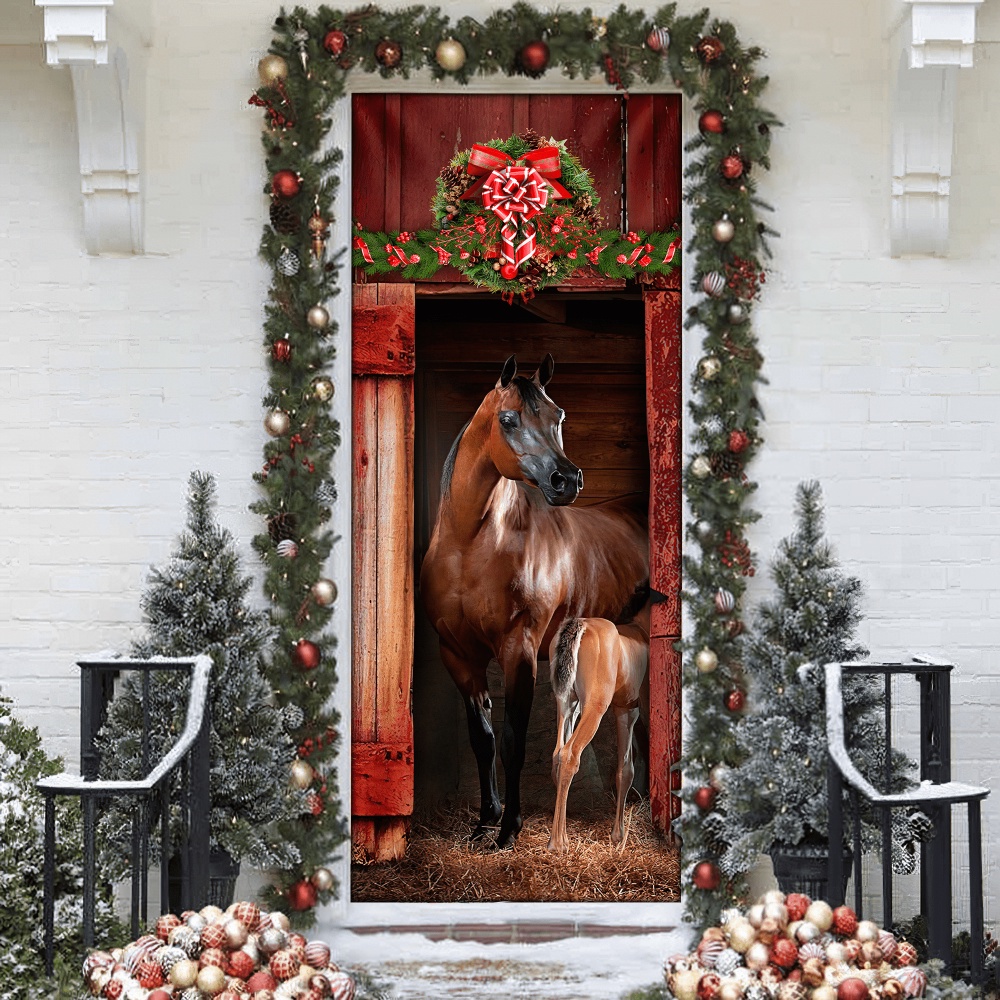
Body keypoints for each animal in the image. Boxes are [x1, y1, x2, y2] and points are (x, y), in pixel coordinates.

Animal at [420, 354, 648, 849]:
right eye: (509, 419)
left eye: (558, 415)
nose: (567, 480)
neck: (471, 545)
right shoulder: (458, 655)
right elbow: (483, 738)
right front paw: (485, 821)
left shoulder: (518, 650)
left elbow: (513, 740)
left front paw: (509, 828)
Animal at [546, 588, 666, 853]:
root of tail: (579, 624)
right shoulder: (634, 710)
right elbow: (628, 767)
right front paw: (618, 834)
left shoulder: (623, 710)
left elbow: (625, 768)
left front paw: (618, 834)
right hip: (594, 706)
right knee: (569, 755)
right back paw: (558, 843)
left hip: (567, 704)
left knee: (557, 754)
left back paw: (560, 836)